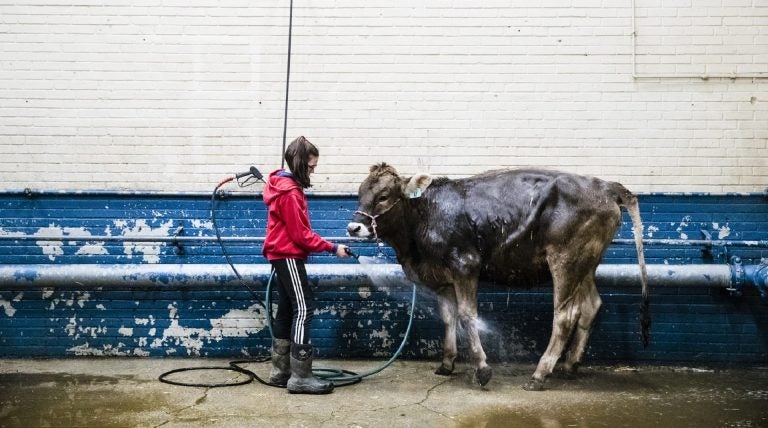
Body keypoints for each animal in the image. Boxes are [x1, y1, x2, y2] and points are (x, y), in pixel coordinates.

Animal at [348, 165, 648, 392]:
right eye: (360, 193)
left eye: (384, 195)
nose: (353, 227)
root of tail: (605, 185)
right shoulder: (442, 277)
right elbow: (448, 316)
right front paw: (447, 364)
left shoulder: (465, 265)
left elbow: (468, 315)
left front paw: (482, 369)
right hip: (587, 263)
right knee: (591, 306)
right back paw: (569, 366)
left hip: (566, 259)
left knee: (565, 314)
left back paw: (540, 374)